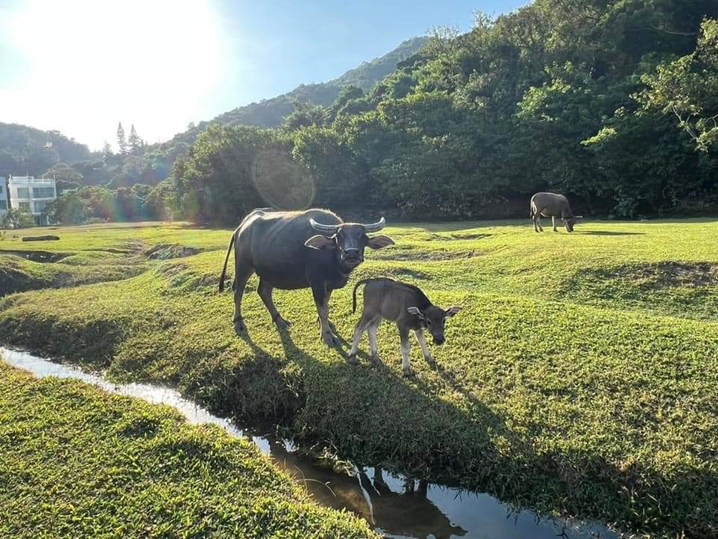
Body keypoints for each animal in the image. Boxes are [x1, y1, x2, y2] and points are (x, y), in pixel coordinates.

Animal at [219, 209, 394, 344]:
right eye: (339, 236)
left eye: (362, 236)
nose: (351, 253)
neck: (332, 259)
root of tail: (241, 228)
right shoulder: (316, 281)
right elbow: (323, 308)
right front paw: (327, 336)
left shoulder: (328, 284)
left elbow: (325, 305)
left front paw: (324, 324)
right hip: (243, 266)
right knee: (238, 291)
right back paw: (238, 322)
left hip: (268, 272)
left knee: (263, 291)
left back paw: (279, 320)